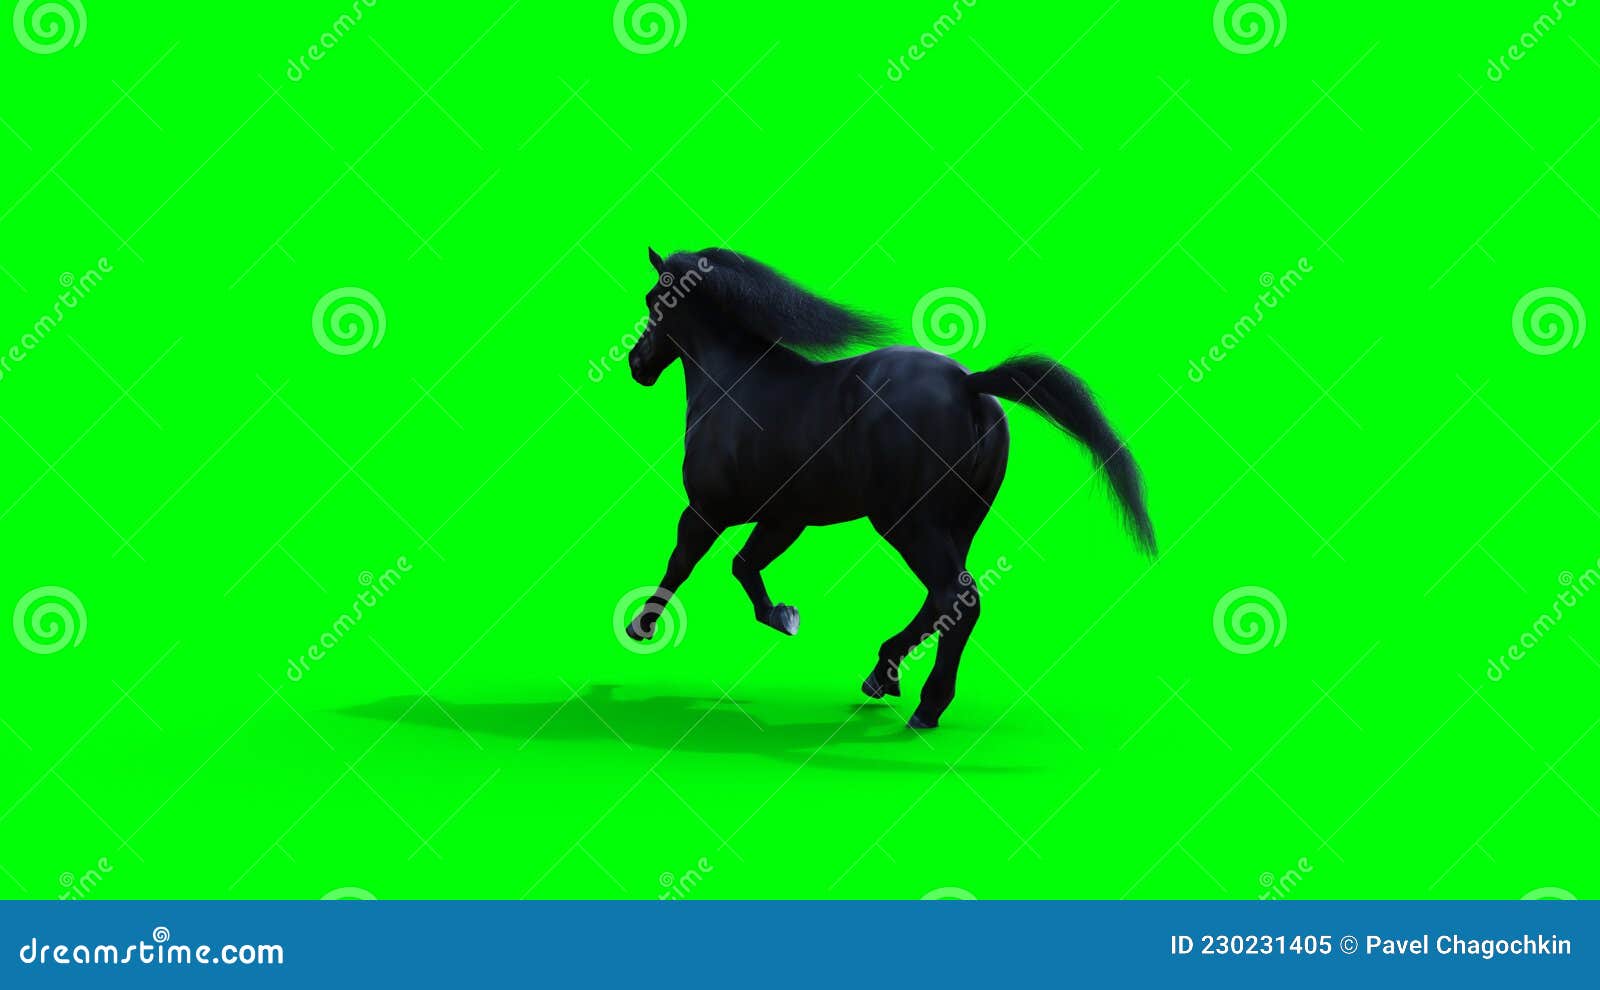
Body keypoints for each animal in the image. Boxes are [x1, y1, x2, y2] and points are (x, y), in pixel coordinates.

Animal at [622, 247, 1155, 729]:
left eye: (652, 299)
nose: (635, 363)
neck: (732, 384)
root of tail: (969, 386)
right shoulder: (786, 516)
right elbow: (745, 564)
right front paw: (784, 615)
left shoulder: (706, 510)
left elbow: (682, 563)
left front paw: (640, 626)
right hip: (957, 523)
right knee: (941, 601)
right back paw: (883, 674)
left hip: (908, 522)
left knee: (957, 597)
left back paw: (926, 707)